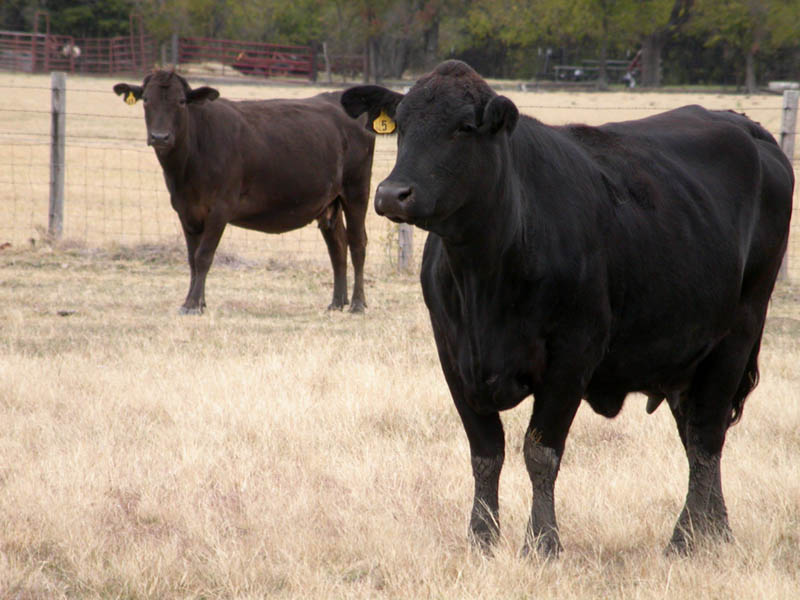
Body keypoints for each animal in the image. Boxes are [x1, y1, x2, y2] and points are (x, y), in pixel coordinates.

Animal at [113, 70, 375, 314]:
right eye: (146, 100)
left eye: (181, 101)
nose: (160, 137)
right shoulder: (185, 209)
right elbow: (191, 259)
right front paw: (196, 301)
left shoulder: (220, 208)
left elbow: (203, 256)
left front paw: (193, 304)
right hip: (330, 202)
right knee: (337, 247)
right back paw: (336, 302)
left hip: (356, 191)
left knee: (357, 243)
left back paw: (357, 303)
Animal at [341, 60, 793, 556]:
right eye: (401, 125)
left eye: (463, 127)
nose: (391, 193)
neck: (485, 275)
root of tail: (747, 127)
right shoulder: (453, 355)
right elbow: (485, 452)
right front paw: (481, 538)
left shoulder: (572, 355)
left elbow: (540, 452)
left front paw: (542, 543)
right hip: (686, 351)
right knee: (696, 435)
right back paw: (715, 531)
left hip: (739, 331)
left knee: (707, 435)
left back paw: (686, 537)